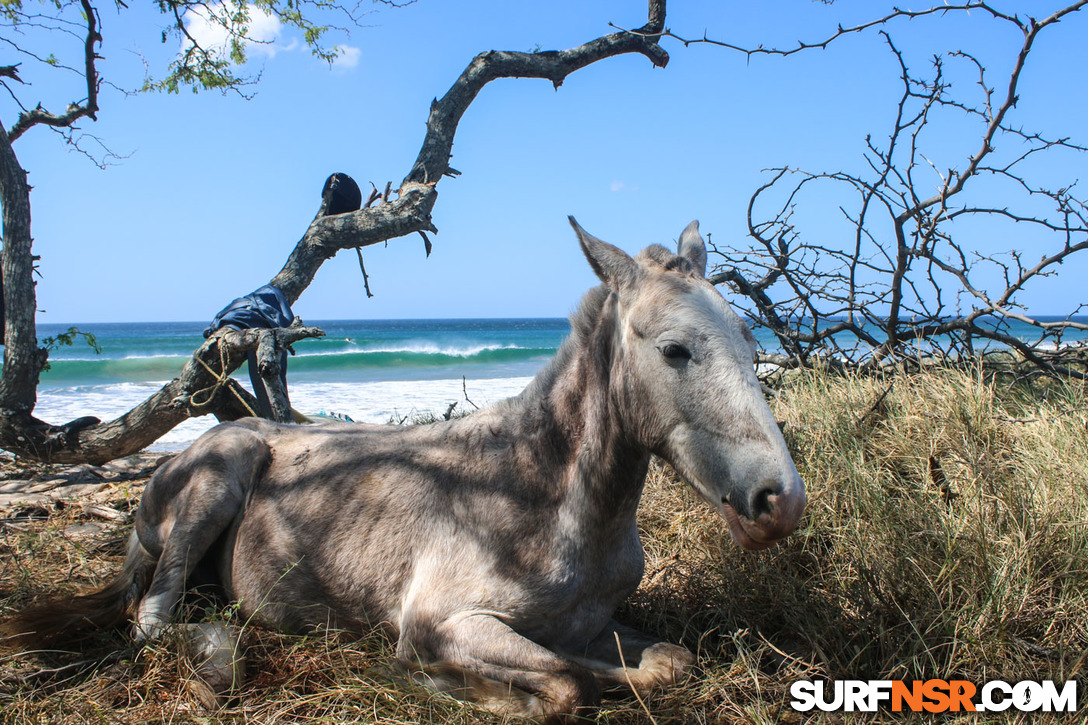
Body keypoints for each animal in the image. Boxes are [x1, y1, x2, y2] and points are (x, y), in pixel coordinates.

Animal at [2, 217, 809, 718]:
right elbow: (560, 684)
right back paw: (220, 655)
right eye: (675, 350)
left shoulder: (598, 623)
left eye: (749, 339)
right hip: (219, 473)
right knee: (151, 620)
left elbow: (664, 662)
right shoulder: (446, 620)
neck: (550, 501)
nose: (780, 501)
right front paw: (426, 677)